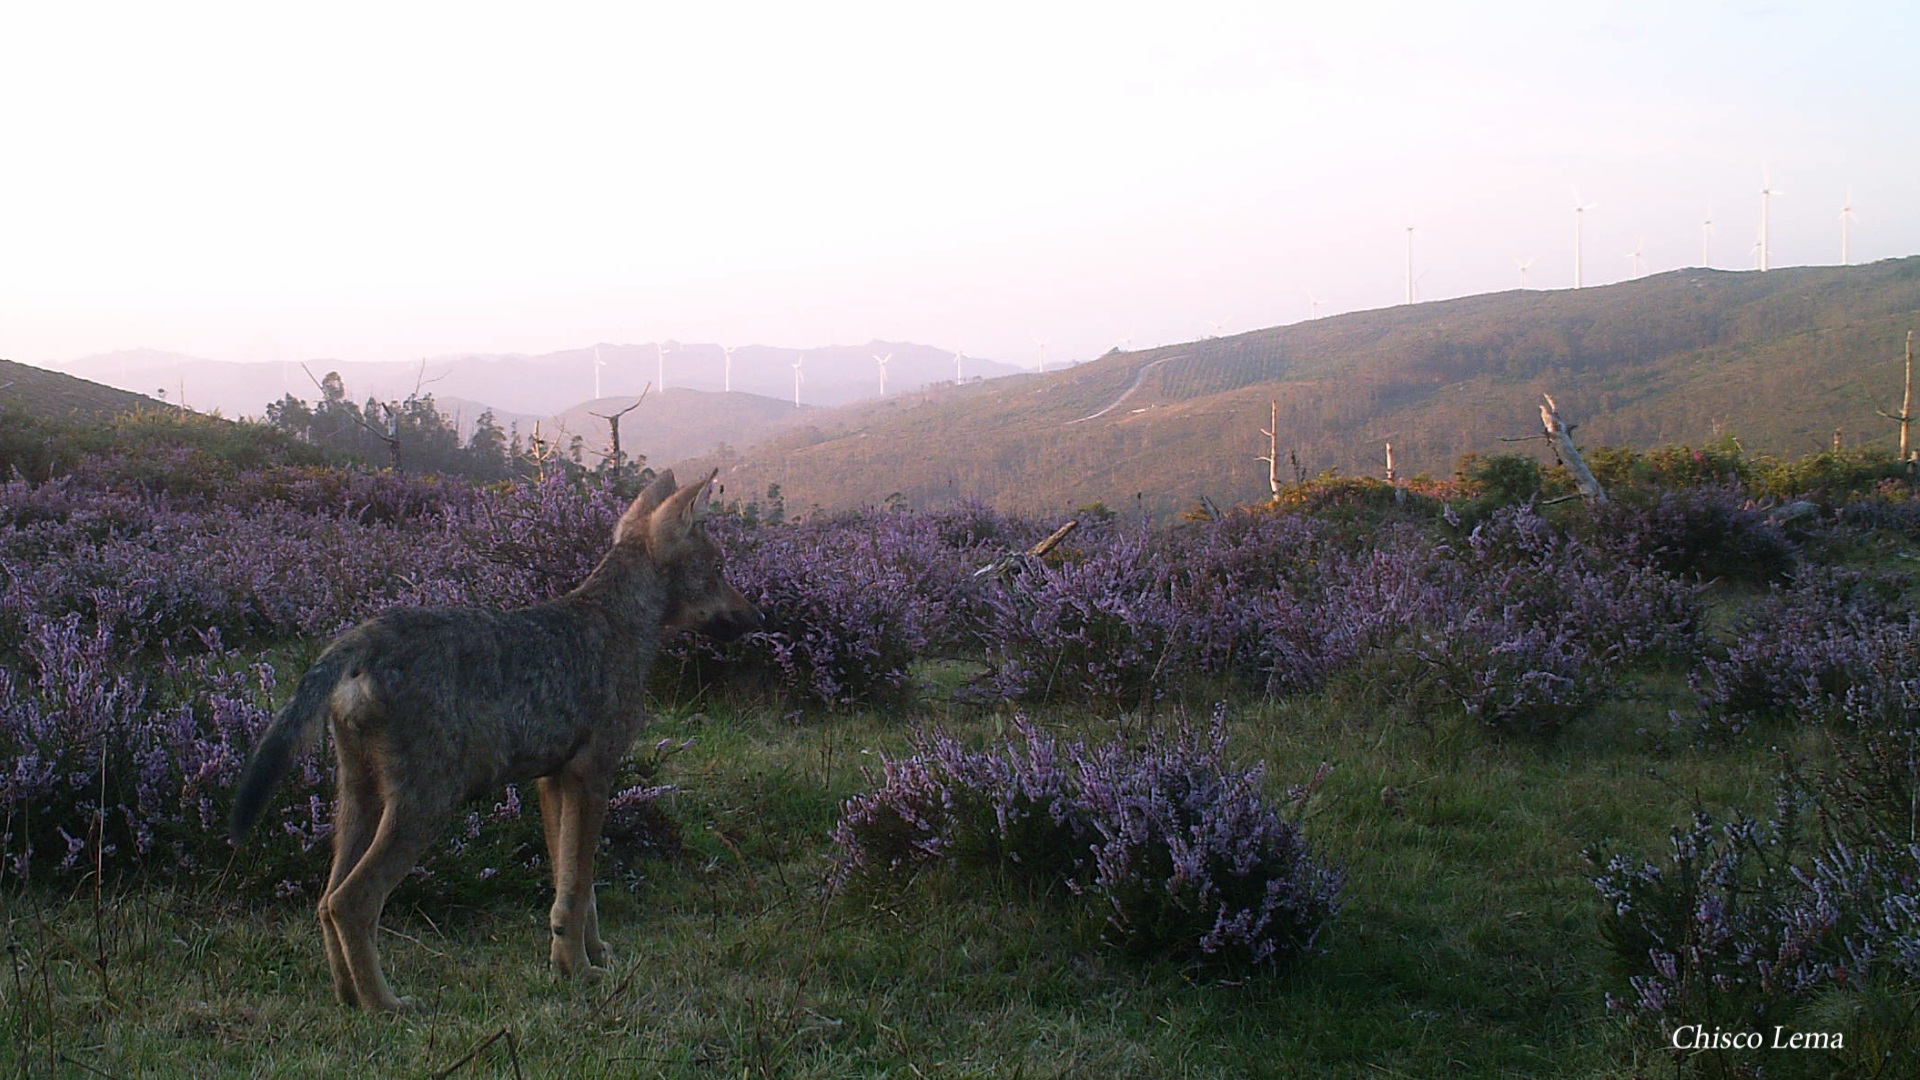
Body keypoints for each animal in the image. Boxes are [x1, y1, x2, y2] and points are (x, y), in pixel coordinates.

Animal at [228, 469, 759, 1010]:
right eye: (719, 568)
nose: (757, 617)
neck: (618, 626)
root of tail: (365, 635)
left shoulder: (553, 781)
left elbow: (574, 889)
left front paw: (583, 955)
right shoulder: (592, 775)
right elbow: (577, 888)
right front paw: (579, 970)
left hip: (360, 798)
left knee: (324, 901)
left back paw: (349, 996)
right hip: (426, 805)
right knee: (351, 902)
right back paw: (386, 1006)